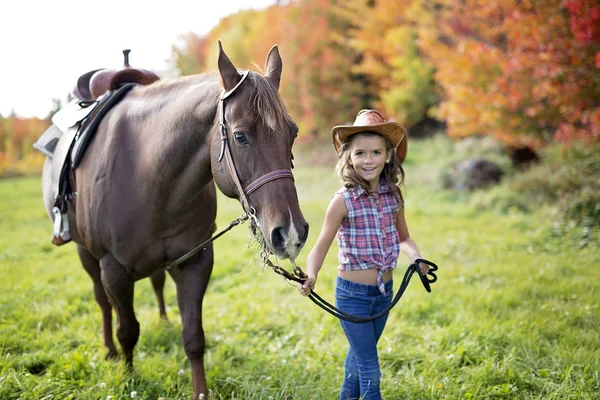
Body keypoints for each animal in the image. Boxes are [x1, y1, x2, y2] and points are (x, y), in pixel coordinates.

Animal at [41, 42, 310, 398]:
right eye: (240, 137)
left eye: (292, 133)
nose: (290, 233)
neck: (146, 172)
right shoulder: (114, 270)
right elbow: (127, 329)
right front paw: (128, 376)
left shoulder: (194, 262)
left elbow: (194, 337)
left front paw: (200, 391)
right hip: (86, 252)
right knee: (102, 301)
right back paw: (110, 350)